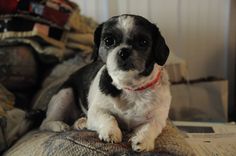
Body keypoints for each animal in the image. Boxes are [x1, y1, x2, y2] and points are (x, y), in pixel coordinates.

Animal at [39, 14, 171, 152]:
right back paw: (58, 125)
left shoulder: (158, 118)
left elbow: (150, 128)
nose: (124, 51)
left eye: (143, 42)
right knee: (44, 122)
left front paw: (143, 141)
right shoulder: (96, 110)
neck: (129, 88)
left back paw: (81, 123)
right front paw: (111, 132)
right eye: (108, 41)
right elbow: (108, 117)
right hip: (64, 94)